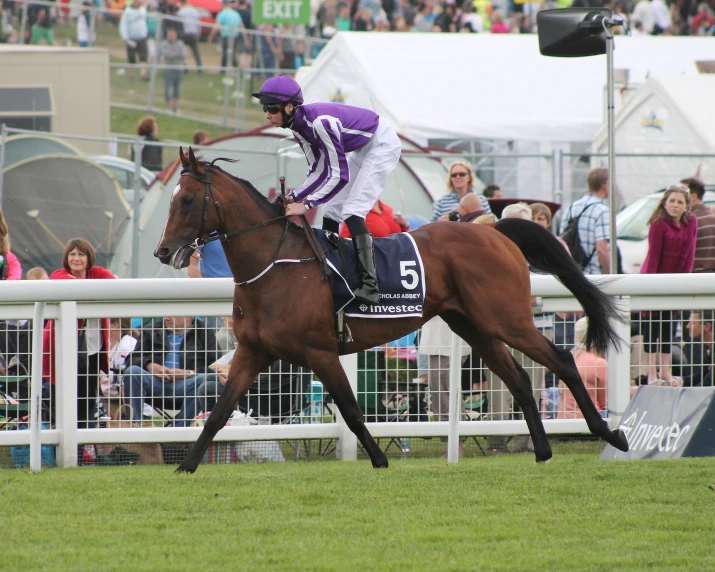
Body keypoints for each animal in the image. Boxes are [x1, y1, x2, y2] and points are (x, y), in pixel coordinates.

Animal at [155, 147, 628, 474]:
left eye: (188, 200)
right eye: (172, 198)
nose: (162, 251)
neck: (276, 265)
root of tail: (497, 232)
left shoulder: (320, 352)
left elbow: (350, 410)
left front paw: (380, 460)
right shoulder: (253, 352)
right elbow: (219, 413)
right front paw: (186, 466)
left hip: (505, 318)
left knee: (561, 360)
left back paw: (610, 434)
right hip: (474, 326)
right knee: (519, 381)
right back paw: (544, 451)